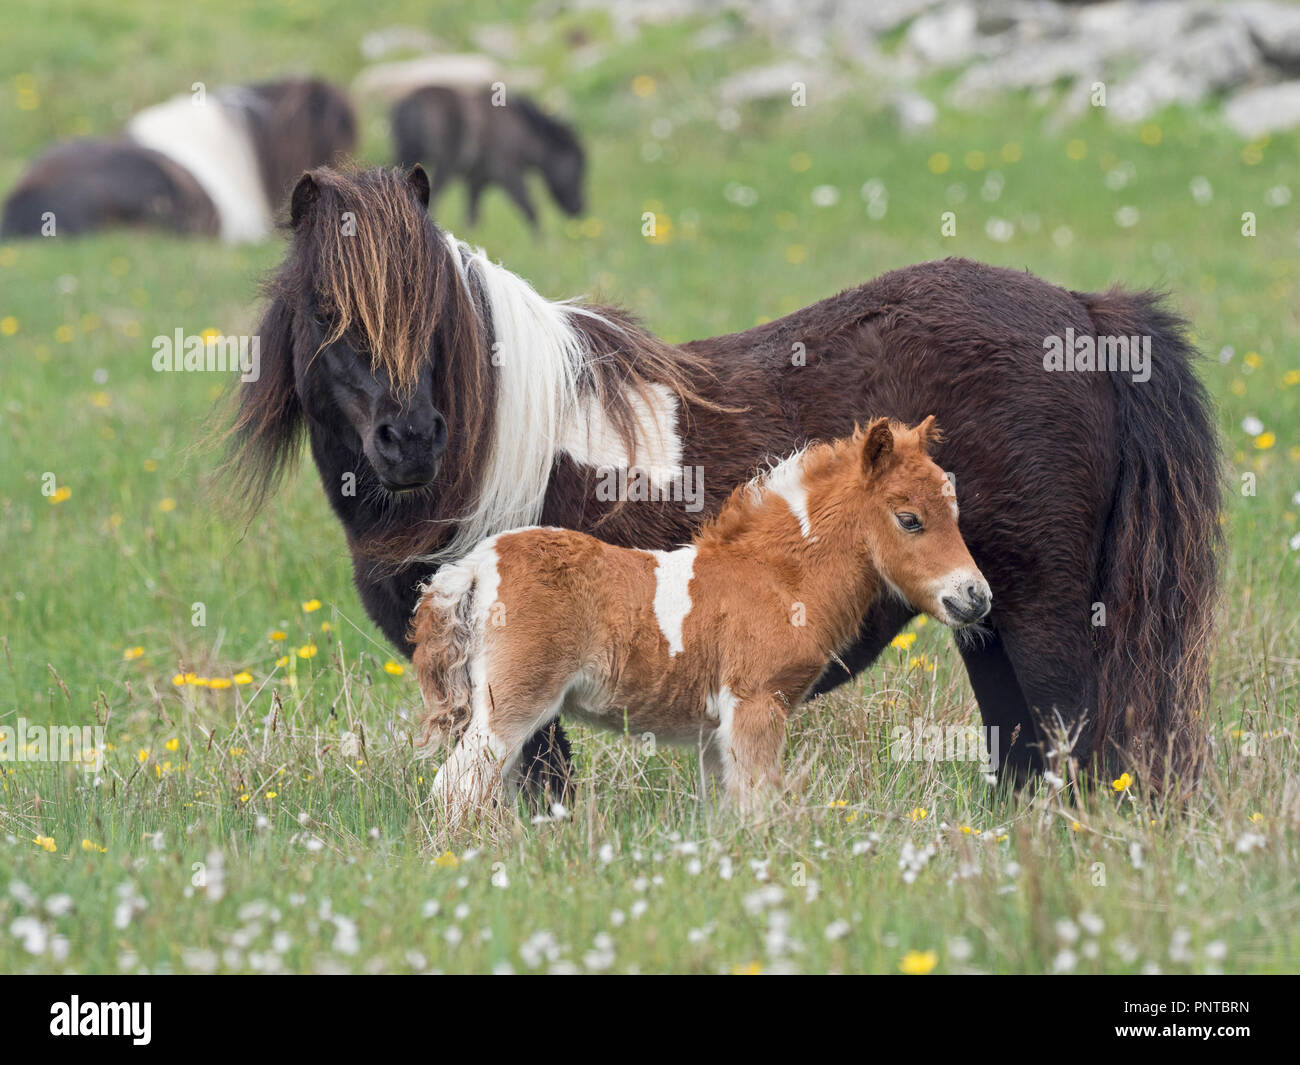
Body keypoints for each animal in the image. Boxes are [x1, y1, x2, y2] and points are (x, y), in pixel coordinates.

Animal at [391, 86, 584, 229]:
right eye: (576, 167)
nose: (580, 208)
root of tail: (409, 104)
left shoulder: (476, 181)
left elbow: (472, 216)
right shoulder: (508, 173)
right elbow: (528, 206)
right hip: (444, 164)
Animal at [411, 417, 991, 818]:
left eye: (956, 513)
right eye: (910, 519)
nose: (976, 597)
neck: (779, 580)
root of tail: (478, 566)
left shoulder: (716, 731)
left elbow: (726, 811)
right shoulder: (757, 706)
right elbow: (759, 807)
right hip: (512, 704)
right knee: (456, 788)